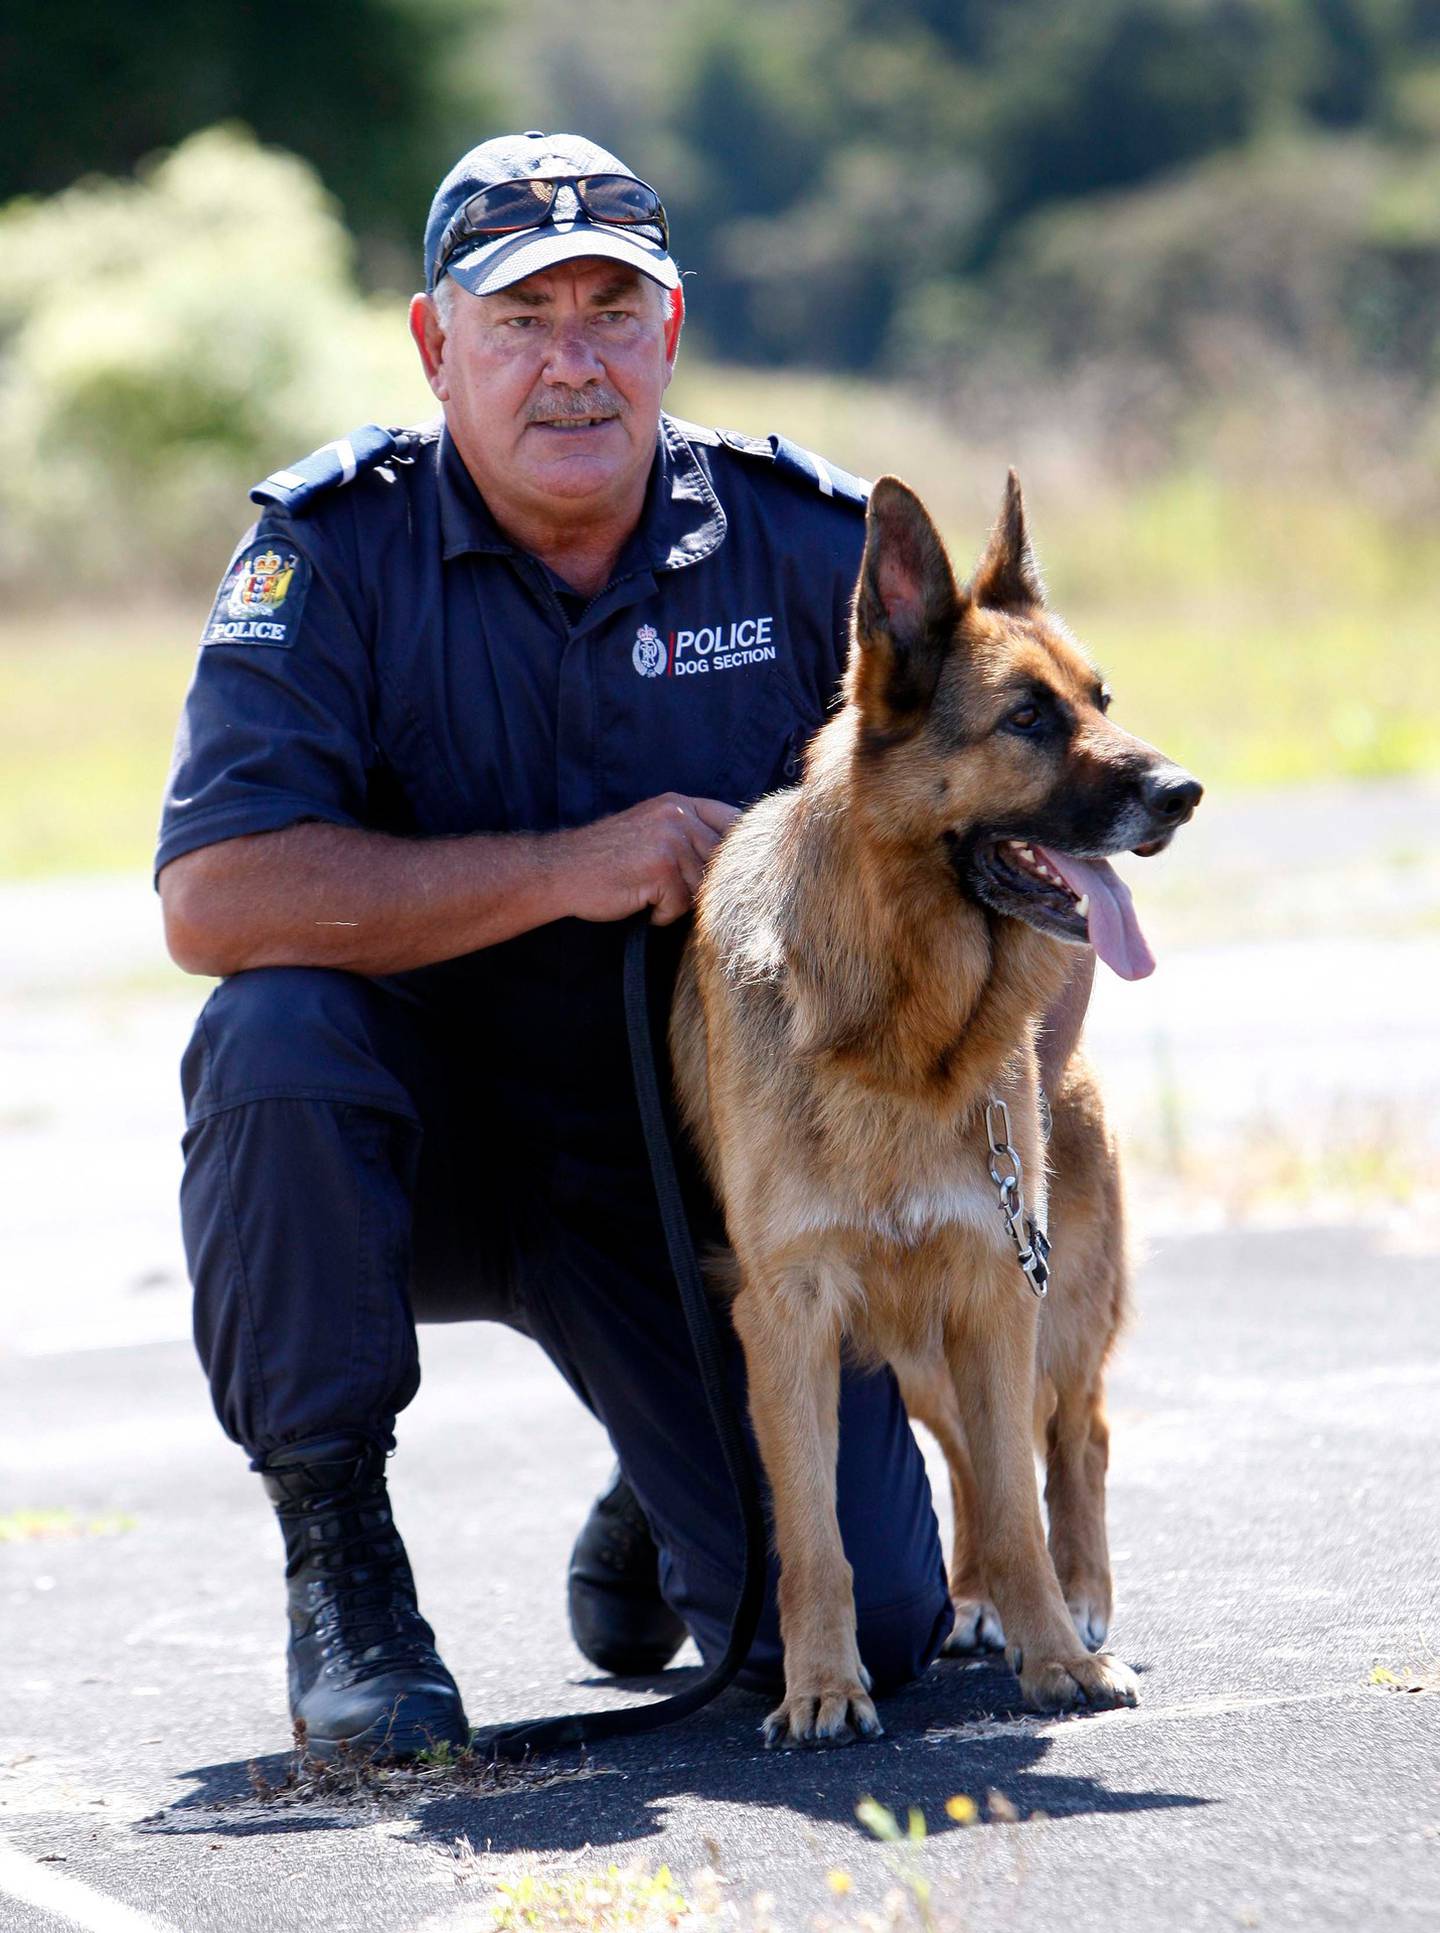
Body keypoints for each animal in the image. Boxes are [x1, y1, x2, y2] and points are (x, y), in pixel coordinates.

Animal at [672, 471, 1198, 1755]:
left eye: (1101, 699)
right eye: (1027, 718)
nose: (1185, 793)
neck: (903, 1035)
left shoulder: (997, 1289)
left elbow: (1017, 1500)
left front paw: (1061, 1658)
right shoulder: (792, 1318)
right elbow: (818, 1533)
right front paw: (821, 1684)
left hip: (1046, 1303)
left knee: (1075, 1435)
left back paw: (1080, 1598)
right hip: (924, 1343)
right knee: (964, 1456)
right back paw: (966, 1604)